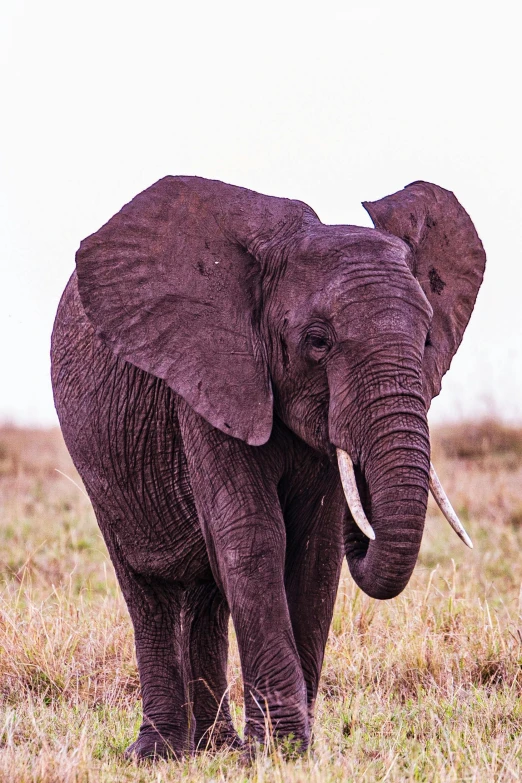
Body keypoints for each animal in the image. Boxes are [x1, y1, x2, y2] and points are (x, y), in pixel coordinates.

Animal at [49, 176, 484, 760]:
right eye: (317, 343)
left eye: (428, 339)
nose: (365, 522)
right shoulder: (208, 377)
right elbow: (255, 537)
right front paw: (281, 749)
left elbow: (314, 552)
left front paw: (287, 750)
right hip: (102, 466)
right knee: (148, 591)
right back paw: (159, 753)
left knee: (207, 595)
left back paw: (216, 748)